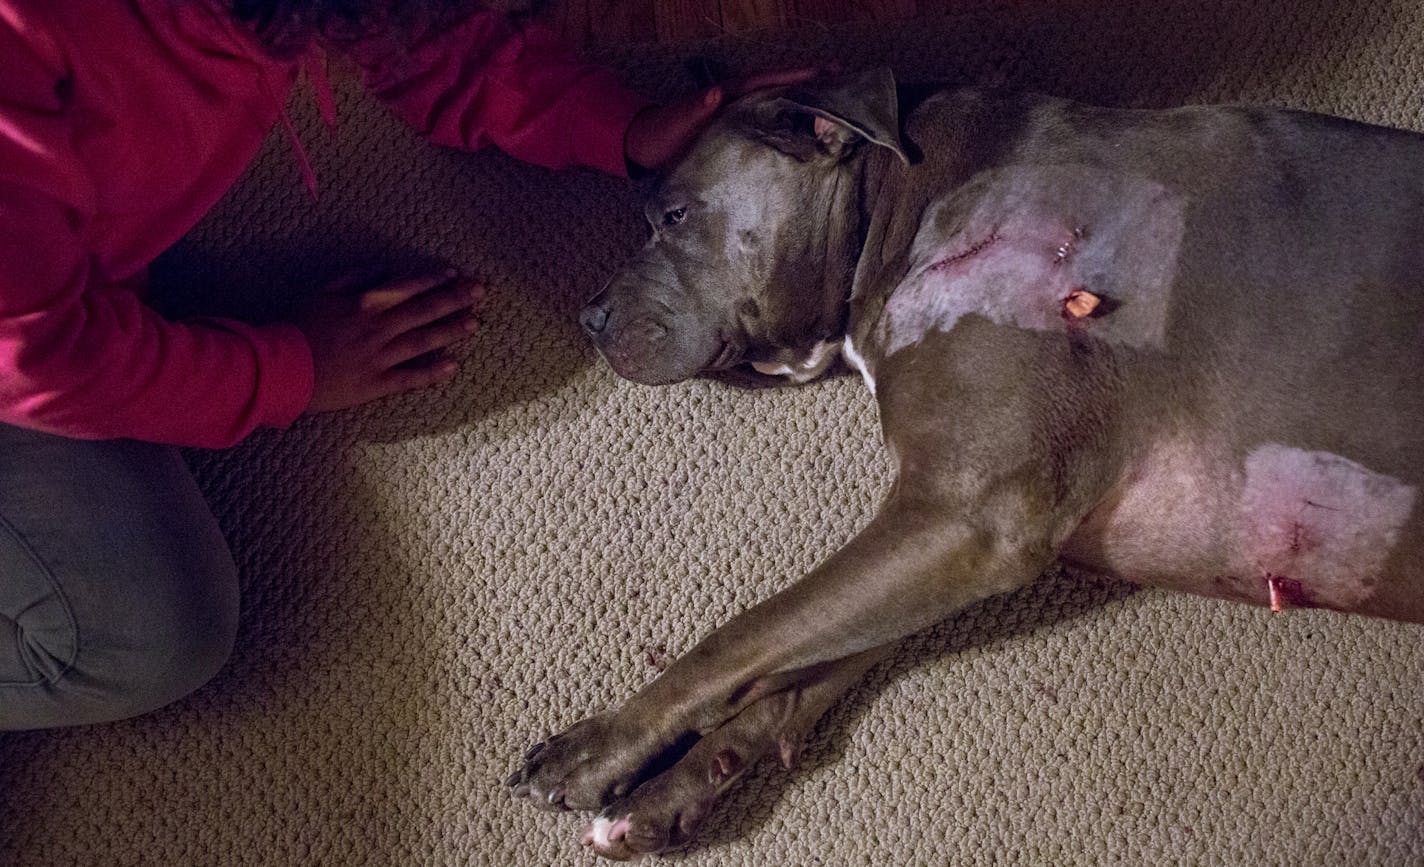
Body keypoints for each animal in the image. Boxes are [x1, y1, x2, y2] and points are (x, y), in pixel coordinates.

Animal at [506, 71, 1418, 854]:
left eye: (672, 214)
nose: (588, 318)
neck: (906, 208)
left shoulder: (966, 515)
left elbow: (745, 635)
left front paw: (595, 748)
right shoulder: (945, 531)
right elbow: (795, 667)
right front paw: (675, 790)